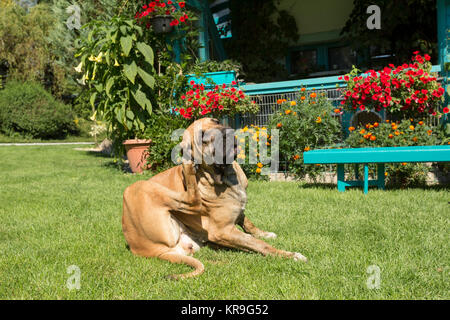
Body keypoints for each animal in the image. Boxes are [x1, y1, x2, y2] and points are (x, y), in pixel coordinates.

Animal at [121, 119, 308, 278]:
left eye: (217, 121)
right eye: (202, 137)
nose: (226, 132)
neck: (225, 177)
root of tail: (147, 249)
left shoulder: (237, 213)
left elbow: (248, 223)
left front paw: (264, 233)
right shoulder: (222, 230)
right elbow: (258, 243)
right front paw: (288, 255)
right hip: (138, 187)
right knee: (192, 199)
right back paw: (187, 165)